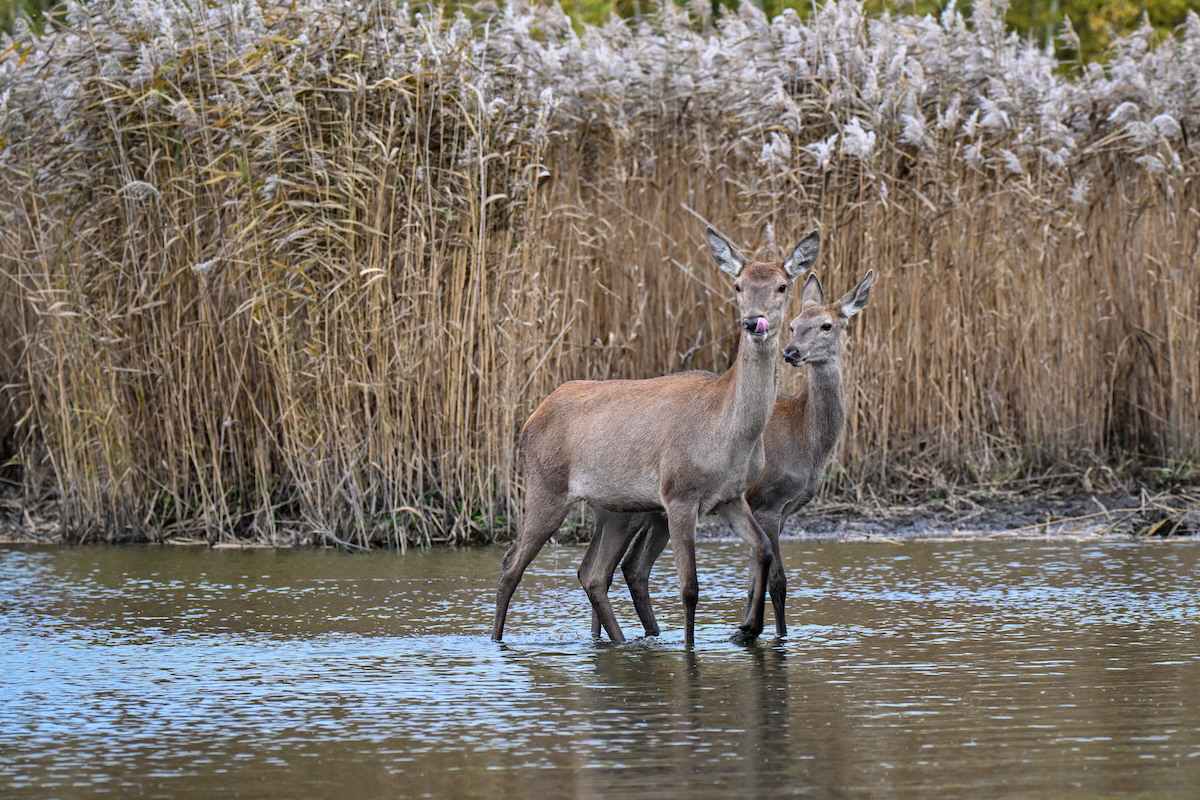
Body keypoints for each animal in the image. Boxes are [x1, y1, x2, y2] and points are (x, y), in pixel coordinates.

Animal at [492, 227, 820, 645]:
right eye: (738, 285)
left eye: (781, 285)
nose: (753, 321)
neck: (728, 435)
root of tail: (528, 423)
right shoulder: (679, 494)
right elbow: (689, 587)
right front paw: (691, 646)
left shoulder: (729, 496)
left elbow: (762, 548)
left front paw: (748, 628)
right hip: (545, 487)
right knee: (512, 563)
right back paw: (496, 642)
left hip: (611, 507)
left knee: (592, 573)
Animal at [582, 268, 875, 641]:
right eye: (794, 325)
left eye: (827, 325)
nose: (791, 352)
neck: (807, 439)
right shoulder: (766, 502)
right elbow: (778, 582)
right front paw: (772, 634)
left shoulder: (783, 511)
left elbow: (753, 581)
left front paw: (748, 629)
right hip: (636, 505)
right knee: (613, 568)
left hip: (650, 511)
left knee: (625, 566)